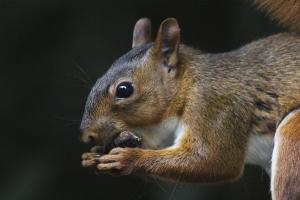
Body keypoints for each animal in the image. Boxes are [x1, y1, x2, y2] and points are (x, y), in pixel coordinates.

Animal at [79, 0, 300, 199]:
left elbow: (213, 160)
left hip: (293, 136)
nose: (87, 135)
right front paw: (93, 155)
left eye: (124, 89)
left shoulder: (216, 106)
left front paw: (129, 158)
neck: (188, 87)